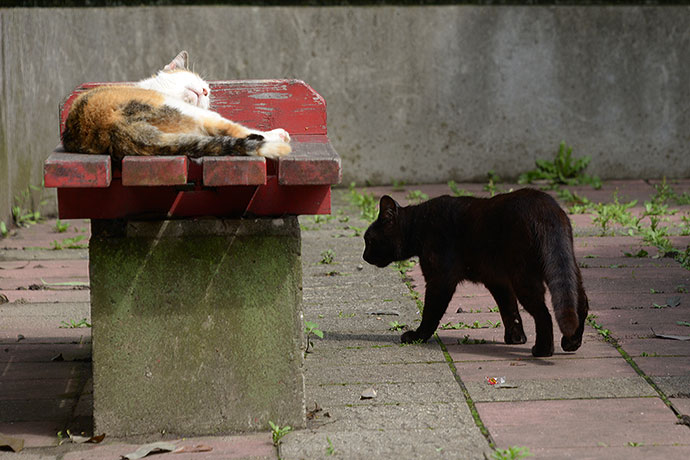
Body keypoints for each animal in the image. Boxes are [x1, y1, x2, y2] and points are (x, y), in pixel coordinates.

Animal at [61, 51, 290, 160]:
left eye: (208, 93)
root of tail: (113, 128)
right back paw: (278, 135)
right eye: (195, 78)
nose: (205, 91)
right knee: (235, 129)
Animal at [362, 187, 588, 356]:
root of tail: (547, 210)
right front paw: (516, 338)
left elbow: (431, 312)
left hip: (524, 277)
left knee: (544, 314)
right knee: (580, 304)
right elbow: (509, 309)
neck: (420, 225)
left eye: (369, 240)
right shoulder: (497, 281)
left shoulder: (440, 280)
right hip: (568, 268)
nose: (364, 256)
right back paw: (571, 342)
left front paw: (417, 336)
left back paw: (543, 350)